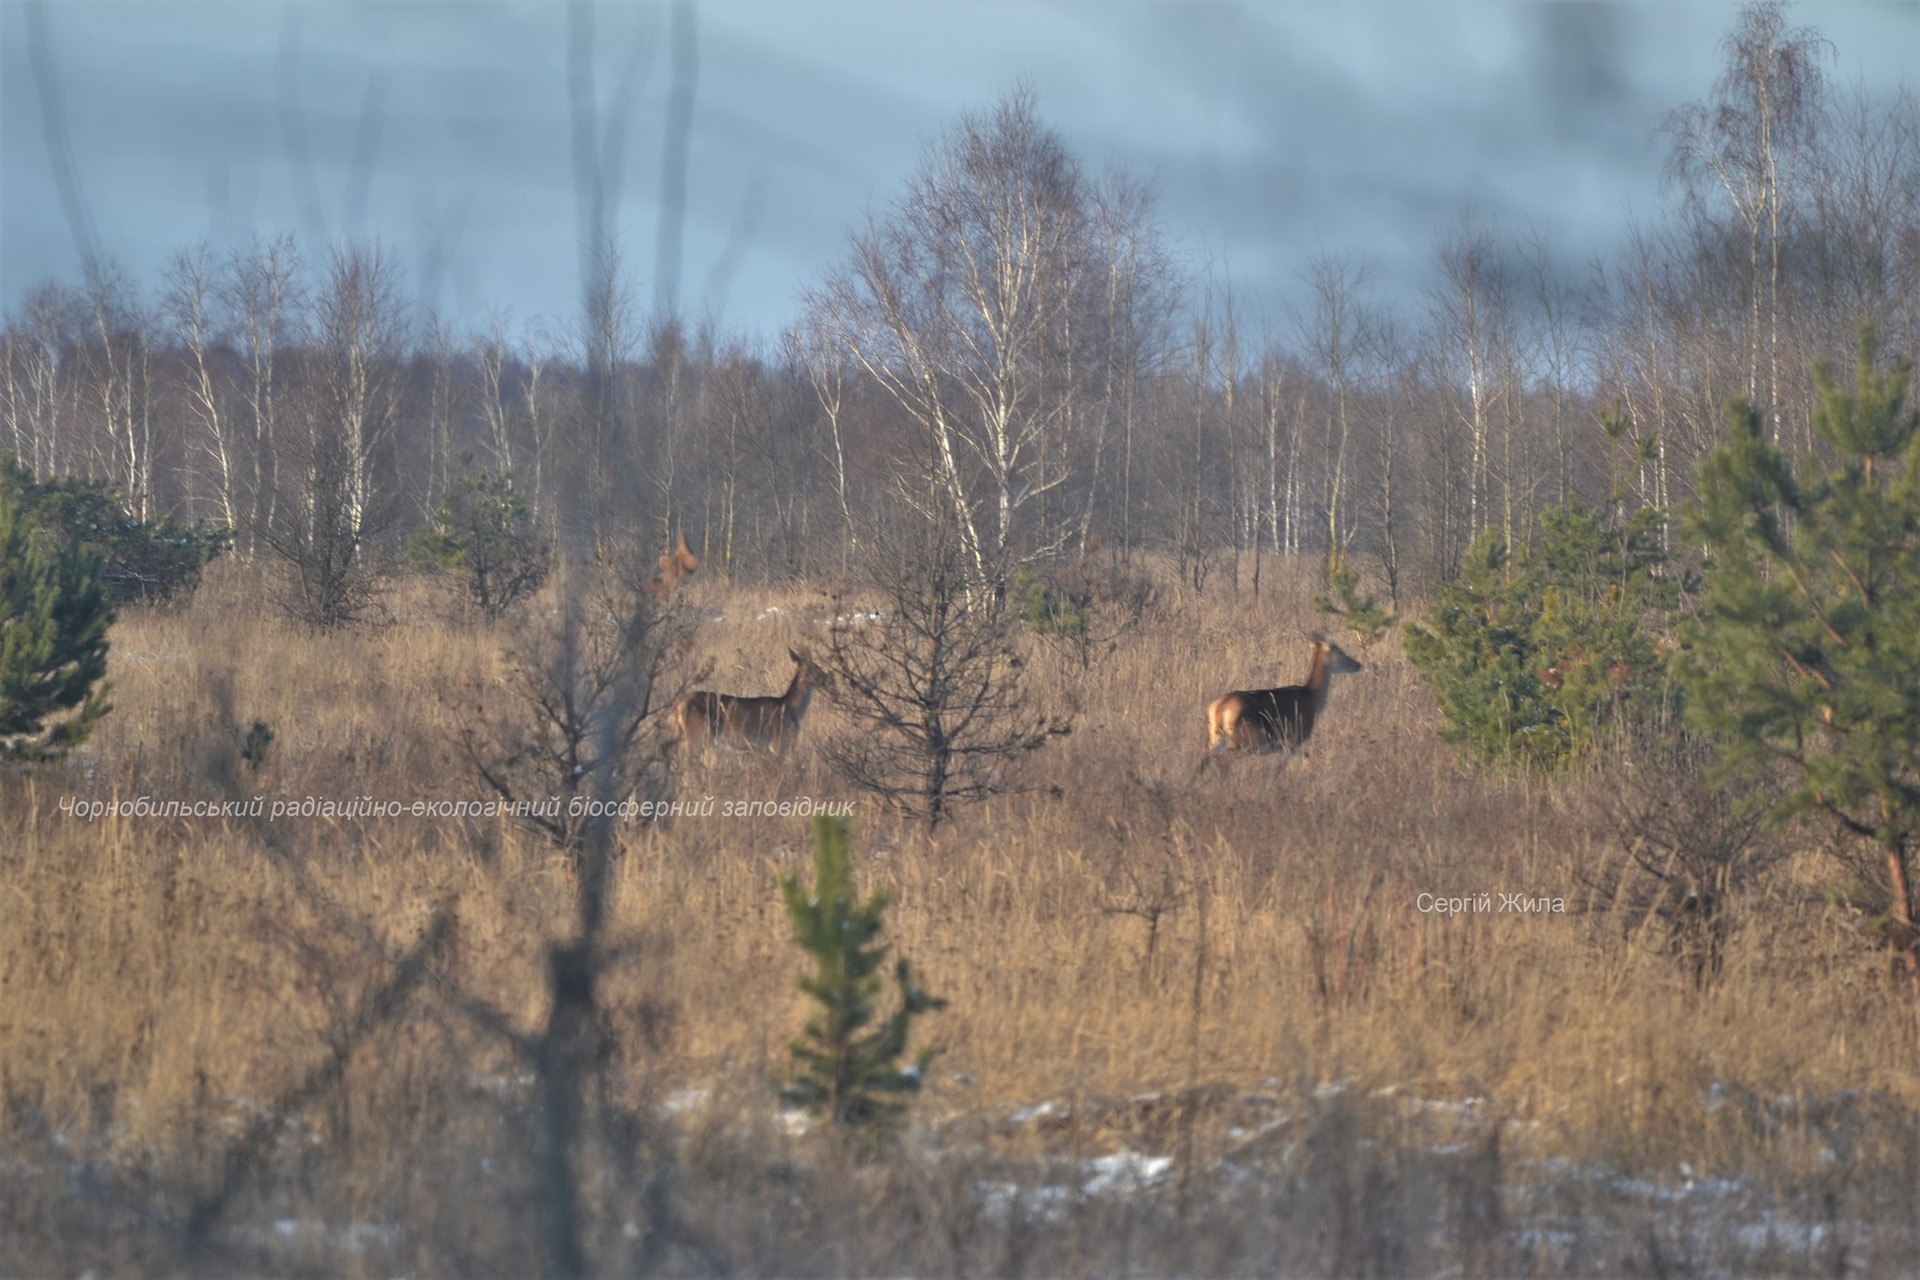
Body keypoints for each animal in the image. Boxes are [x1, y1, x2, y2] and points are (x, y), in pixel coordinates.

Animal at [672, 652, 829, 759]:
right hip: (697, 735)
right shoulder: (777, 744)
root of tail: (678, 705)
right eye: (812, 668)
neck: (790, 707)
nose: (825, 679)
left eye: (817, 666)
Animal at [1198, 633, 1367, 771]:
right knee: (1223, 759)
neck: (1312, 698)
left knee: (1204, 759)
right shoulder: (1293, 740)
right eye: (1340, 651)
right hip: (1248, 740)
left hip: (1215, 737)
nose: (1358, 664)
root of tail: (1220, 707)